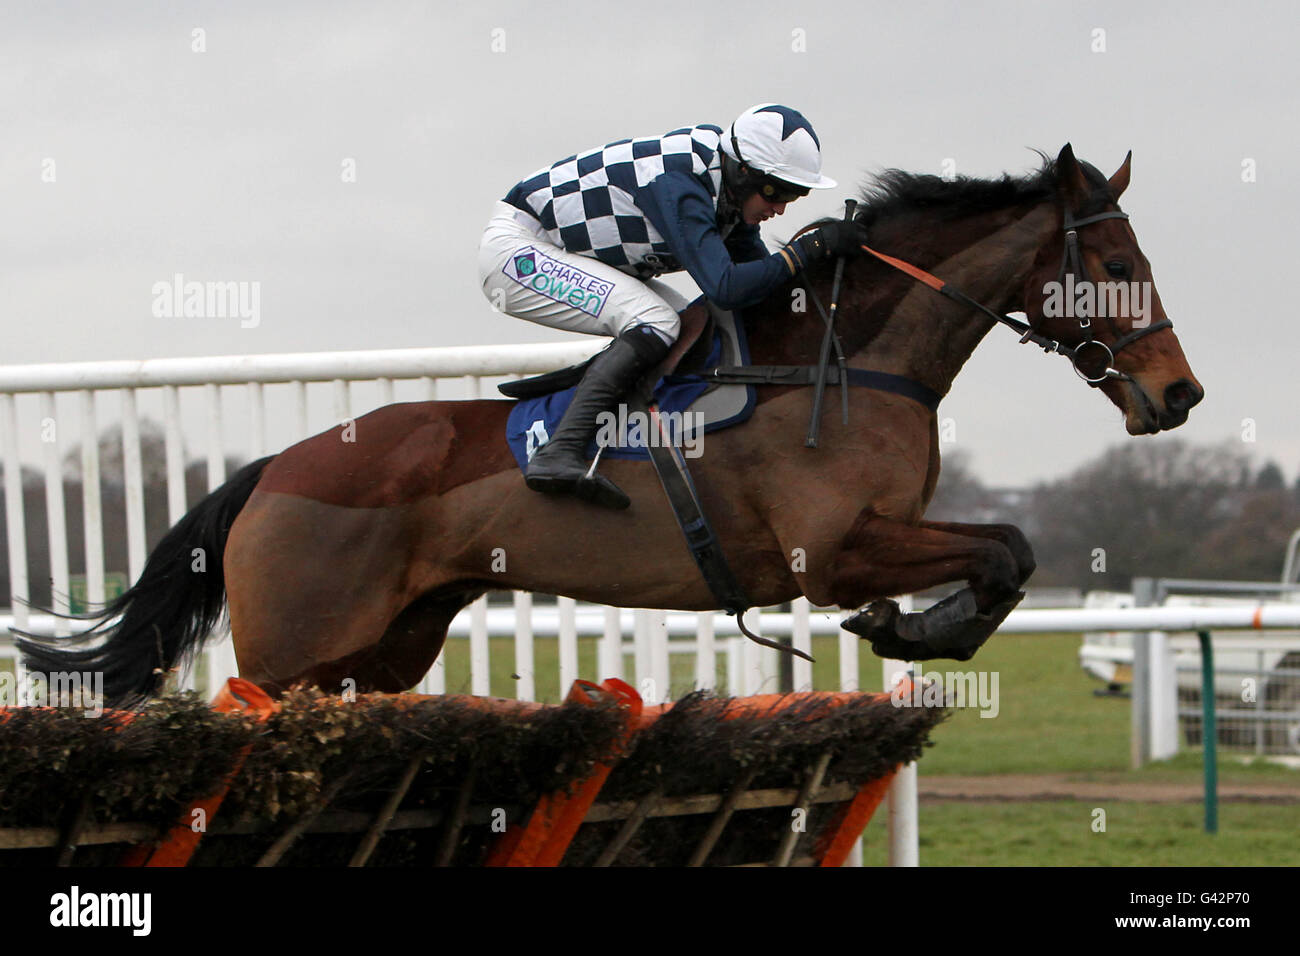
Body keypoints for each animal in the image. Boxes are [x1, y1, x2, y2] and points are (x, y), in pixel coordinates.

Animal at [15, 145, 1201, 707]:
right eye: (1110, 262)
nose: (1179, 394)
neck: (847, 357)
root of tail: (268, 469)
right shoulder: (831, 550)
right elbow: (1006, 548)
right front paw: (912, 629)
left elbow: (1011, 552)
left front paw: (918, 630)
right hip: (292, 649)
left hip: (381, 650)